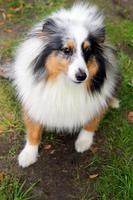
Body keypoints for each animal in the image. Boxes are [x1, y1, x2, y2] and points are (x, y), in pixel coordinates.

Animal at [13, 2, 119, 167]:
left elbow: (91, 122)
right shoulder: (34, 102)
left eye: (87, 51)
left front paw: (83, 142)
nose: (82, 76)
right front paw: (28, 154)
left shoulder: (97, 100)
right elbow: (33, 129)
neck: (66, 83)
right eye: (66, 50)